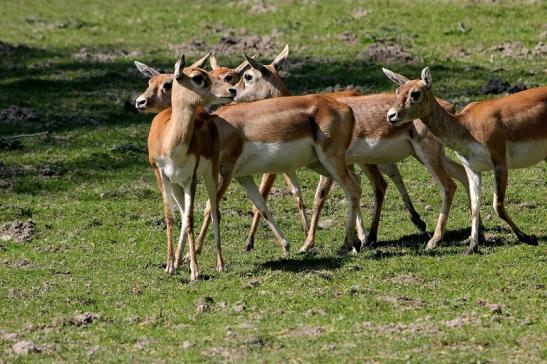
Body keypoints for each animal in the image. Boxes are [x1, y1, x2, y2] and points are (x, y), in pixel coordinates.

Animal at [148, 55, 235, 280]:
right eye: (197, 78)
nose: (231, 90)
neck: (171, 142)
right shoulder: (162, 175)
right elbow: (171, 217)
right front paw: (170, 266)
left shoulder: (191, 178)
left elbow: (190, 220)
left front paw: (195, 271)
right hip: (176, 185)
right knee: (182, 212)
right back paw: (178, 261)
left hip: (210, 173)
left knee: (214, 211)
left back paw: (220, 264)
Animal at [204, 48, 470, 253]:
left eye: (247, 75)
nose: (232, 94)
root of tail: (447, 106)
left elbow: (317, 197)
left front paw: (305, 244)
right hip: (425, 156)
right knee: (457, 176)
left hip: (422, 155)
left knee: (440, 185)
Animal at [384, 67, 544, 253]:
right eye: (398, 91)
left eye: (415, 93)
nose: (391, 116)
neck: (467, 126)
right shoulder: (472, 169)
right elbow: (474, 206)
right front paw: (472, 246)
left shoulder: (500, 163)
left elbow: (498, 206)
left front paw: (528, 238)